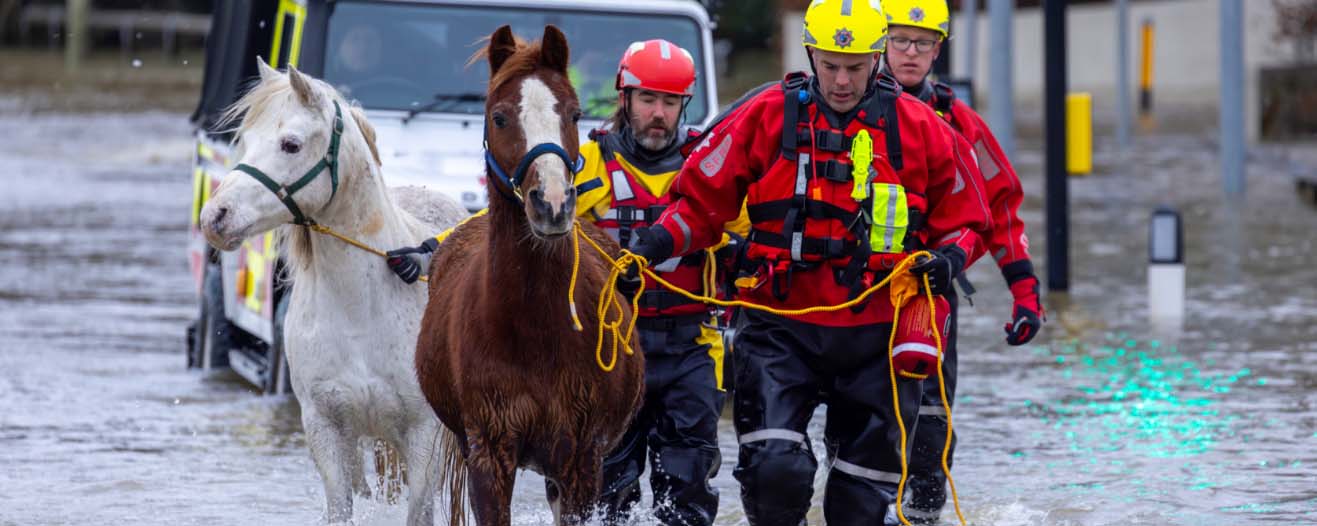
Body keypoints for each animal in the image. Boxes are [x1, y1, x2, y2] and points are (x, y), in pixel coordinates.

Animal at [198, 60, 467, 525]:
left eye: (290, 144)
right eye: (244, 140)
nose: (216, 216)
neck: (359, 310)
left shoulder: (425, 434)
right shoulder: (327, 430)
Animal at [414, 25, 645, 526]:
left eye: (574, 113)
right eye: (499, 118)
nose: (552, 203)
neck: (535, 323)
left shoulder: (582, 458)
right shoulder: (488, 452)